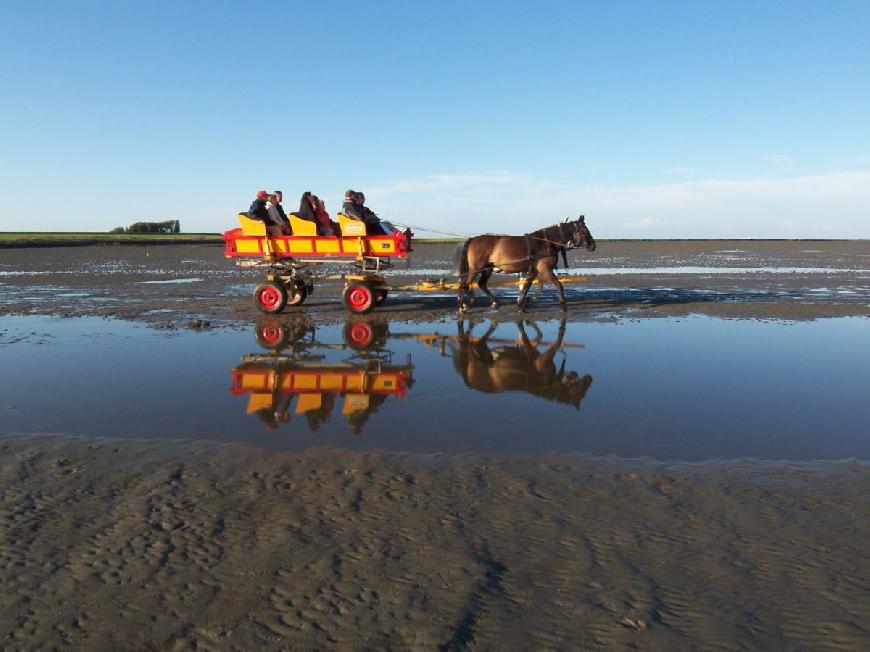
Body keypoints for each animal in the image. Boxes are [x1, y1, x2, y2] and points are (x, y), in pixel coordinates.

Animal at [454, 215, 596, 312]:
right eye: (584, 231)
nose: (593, 245)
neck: (546, 242)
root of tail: (473, 239)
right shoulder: (545, 269)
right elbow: (558, 285)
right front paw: (562, 303)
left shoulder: (533, 270)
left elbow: (526, 287)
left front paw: (520, 303)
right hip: (475, 269)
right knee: (463, 284)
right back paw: (461, 306)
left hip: (488, 268)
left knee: (481, 284)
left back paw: (494, 302)